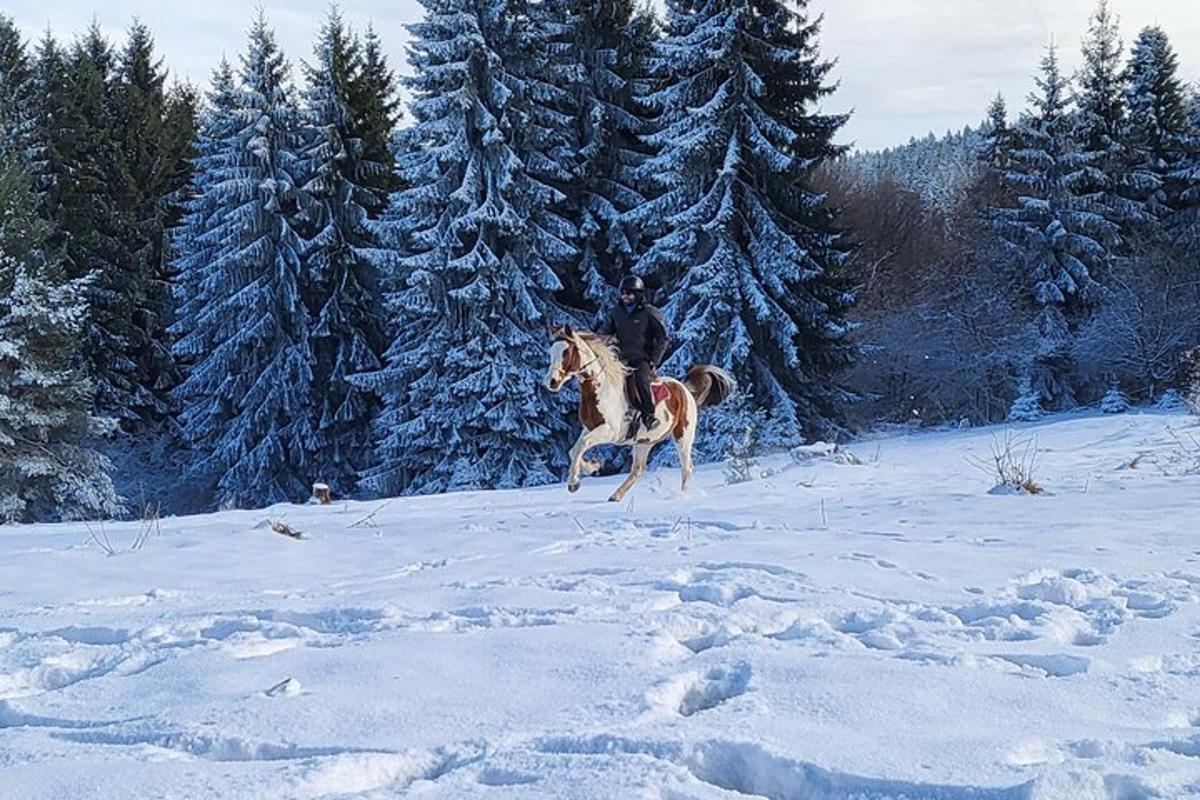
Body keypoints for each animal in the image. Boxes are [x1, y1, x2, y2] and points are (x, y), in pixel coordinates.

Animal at [542, 323, 729, 501]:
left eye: (566, 352)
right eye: (551, 352)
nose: (551, 382)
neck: (601, 390)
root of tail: (685, 389)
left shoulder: (609, 431)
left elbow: (582, 445)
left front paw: (574, 483)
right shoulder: (590, 428)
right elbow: (573, 450)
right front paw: (593, 467)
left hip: (682, 436)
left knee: (686, 468)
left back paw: (683, 495)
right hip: (644, 442)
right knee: (638, 469)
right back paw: (615, 496)